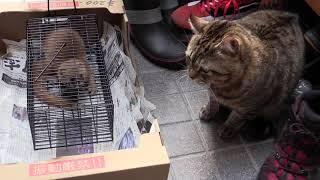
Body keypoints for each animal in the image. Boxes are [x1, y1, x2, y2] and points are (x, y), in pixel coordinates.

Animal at [188, 9, 304, 139]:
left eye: (205, 70)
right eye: (189, 59)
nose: (190, 76)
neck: (222, 84)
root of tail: (293, 15)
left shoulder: (249, 107)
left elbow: (236, 117)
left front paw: (228, 127)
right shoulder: (211, 92)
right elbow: (212, 102)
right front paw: (208, 111)